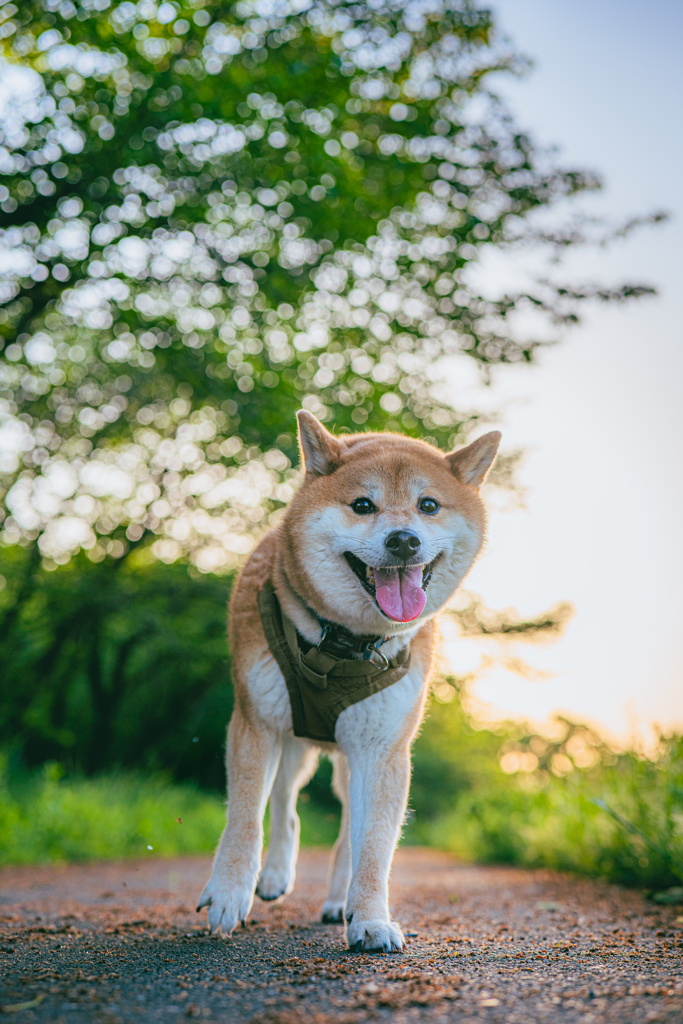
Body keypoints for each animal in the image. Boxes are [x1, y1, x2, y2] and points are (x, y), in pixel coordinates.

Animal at [197, 409, 501, 950]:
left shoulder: (382, 749)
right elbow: (245, 817)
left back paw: (340, 901)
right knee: (286, 804)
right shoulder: (255, 723)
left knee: (344, 833)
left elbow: (375, 845)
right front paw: (230, 891)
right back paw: (273, 877)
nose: (404, 539)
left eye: (428, 505)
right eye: (363, 505)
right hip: (292, 742)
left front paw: (370, 919)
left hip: (346, 758)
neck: (341, 644)